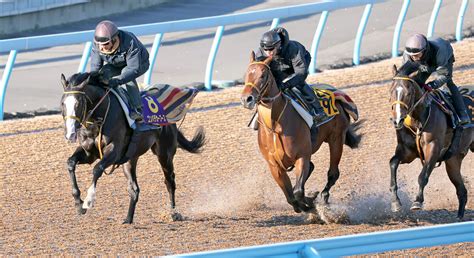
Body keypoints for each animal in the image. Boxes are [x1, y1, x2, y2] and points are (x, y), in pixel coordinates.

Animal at [59, 71, 206, 223]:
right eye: (62, 103)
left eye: (78, 103)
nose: (70, 134)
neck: (99, 119)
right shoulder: (89, 153)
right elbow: (70, 163)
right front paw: (78, 203)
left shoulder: (114, 151)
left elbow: (97, 169)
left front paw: (88, 200)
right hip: (129, 160)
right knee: (134, 189)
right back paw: (128, 219)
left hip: (164, 154)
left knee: (169, 181)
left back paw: (174, 213)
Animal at [241, 51, 362, 213]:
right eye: (246, 74)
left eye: (263, 75)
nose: (246, 99)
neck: (275, 126)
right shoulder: (274, 166)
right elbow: (291, 197)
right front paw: (306, 203)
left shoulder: (302, 156)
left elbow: (298, 192)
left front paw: (310, 203)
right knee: (312, 169)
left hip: (336, 139)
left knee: (333, 173)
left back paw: (324, 196)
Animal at [386, 61, 472, 219]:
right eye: (391, 91)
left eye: (408, 93)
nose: (397, 120)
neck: (418, 119)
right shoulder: (407, 152)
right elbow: (393, 163)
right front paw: (395, 202)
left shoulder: (433, 149)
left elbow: (423, 176)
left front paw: (417, 202)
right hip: (453, 160)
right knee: (461, 190)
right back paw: (459, 216)